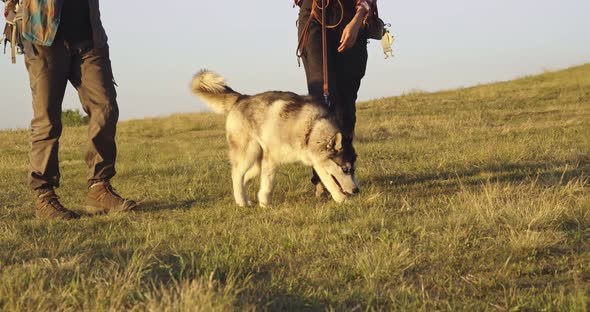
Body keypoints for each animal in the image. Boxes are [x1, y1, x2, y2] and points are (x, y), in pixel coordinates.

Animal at [193, 70, 360, 207]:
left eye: (353, 169)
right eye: (345, 169)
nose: (356, 190)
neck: (311, 128)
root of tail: (242, 98)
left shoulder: (318, 162)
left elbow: (330, 182)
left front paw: (342, 200)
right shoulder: (272, 158)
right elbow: (268, 184)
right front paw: (265, 204)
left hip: (257, 160)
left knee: (246, 177)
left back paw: (246, 199)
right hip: (249, 153)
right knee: (237, 176)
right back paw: (241, 201)